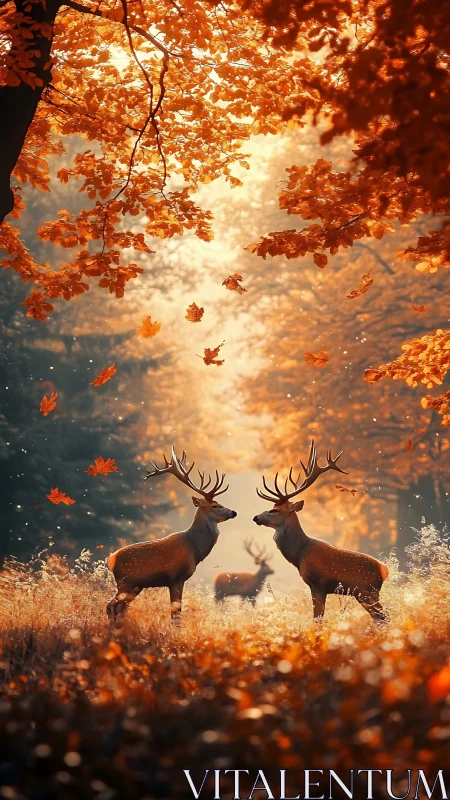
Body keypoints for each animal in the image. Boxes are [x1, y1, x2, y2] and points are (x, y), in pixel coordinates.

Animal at [106, 447, 237, 623]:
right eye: (215, 505)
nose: (233, 512)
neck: (194, 549)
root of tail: (111, 559)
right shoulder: (176, 577)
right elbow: (176, 615)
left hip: (135, 586)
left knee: (120, 609)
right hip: (125, 582)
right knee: (111, 606)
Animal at [253, 440, 389, 623]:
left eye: (275, 510)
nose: (256, 517)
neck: (299, 554)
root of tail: (384, 570)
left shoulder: (317, 583)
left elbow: (317, 618)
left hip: (365, 591)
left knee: (383, 618)